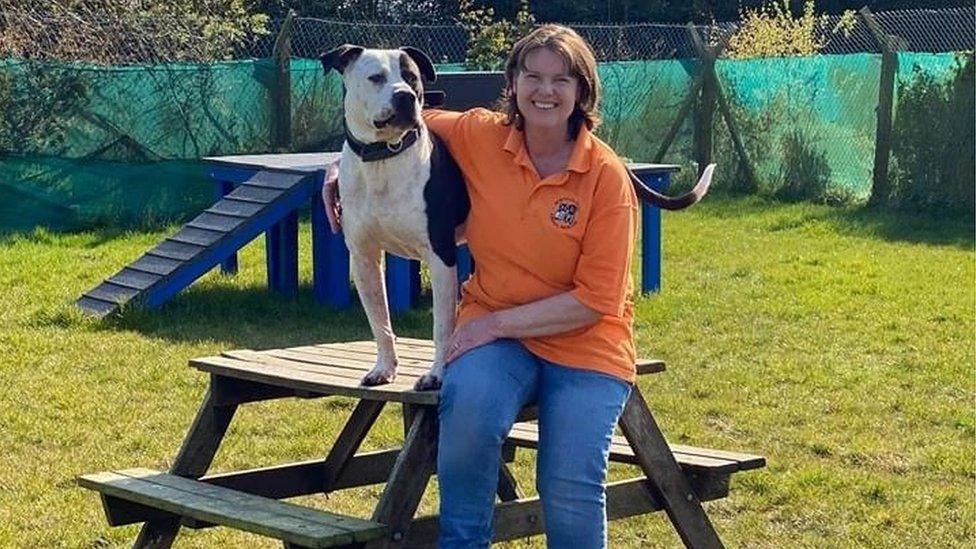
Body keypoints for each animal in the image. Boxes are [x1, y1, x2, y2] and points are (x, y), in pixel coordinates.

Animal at [324, 46, 712, 390]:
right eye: (376, 77)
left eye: (412, 77)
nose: (406, 97)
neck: (384, 161)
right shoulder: (364, 258)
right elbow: (380, 322)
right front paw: (384, 368)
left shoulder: (440, 256)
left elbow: (442, 326)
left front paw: (436, 375)